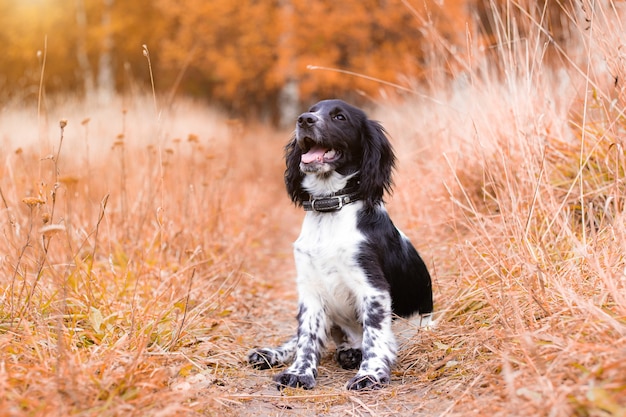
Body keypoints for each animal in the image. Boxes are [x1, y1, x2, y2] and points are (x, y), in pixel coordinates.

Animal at [246, 98, 432, 390]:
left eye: (340, 117)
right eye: (312, 110)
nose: (304, 119)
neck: (330, 210)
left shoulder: (372, 287)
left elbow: (375, 335)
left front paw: (370, 374)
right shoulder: (309, 288)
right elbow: (306, 337)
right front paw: (299, 372)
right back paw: (271, 353)